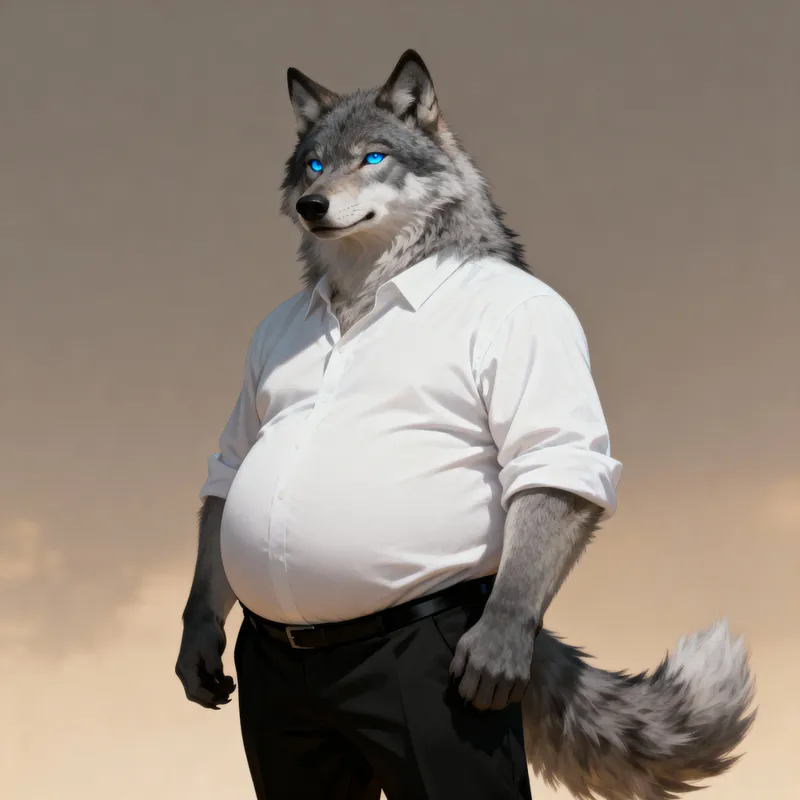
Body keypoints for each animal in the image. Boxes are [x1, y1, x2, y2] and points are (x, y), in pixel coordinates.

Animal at [176, 50, 755, 799]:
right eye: (314, 165)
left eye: (373, 157)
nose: (312, 206)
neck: (364, 290)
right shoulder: (243, 436)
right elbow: (226, 476)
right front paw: (198, 642)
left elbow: (551, 462)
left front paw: (494, 646)